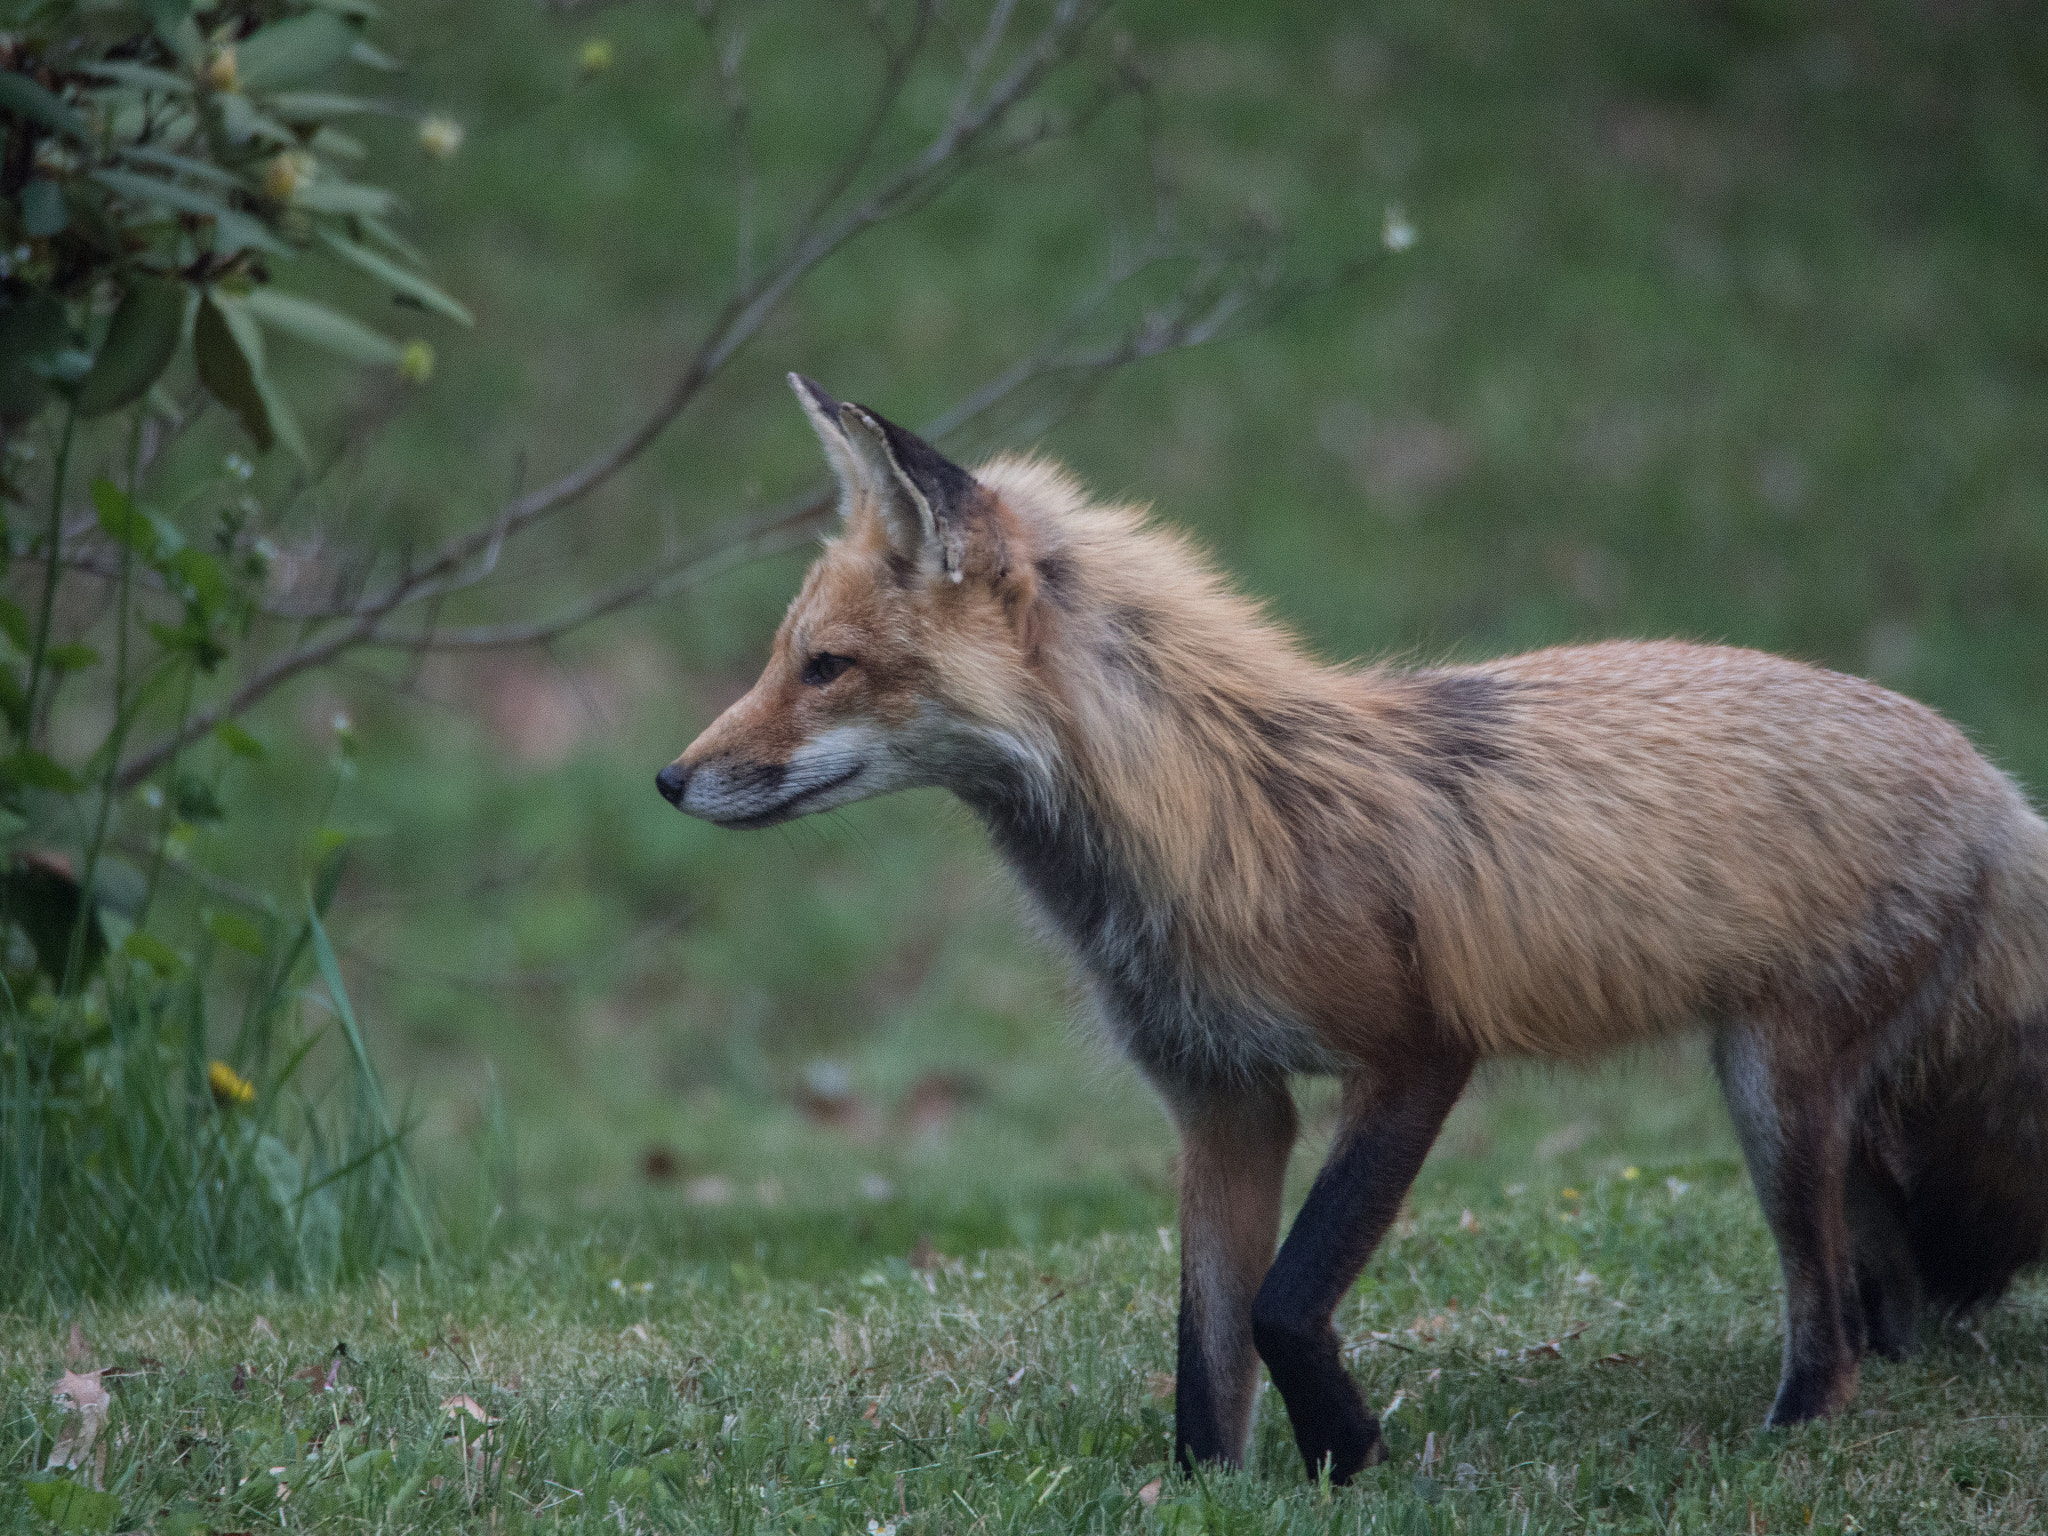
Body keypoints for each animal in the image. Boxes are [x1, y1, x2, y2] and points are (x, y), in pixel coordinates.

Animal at [657, 374, 2048, 1484]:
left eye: (825, 667)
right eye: (785, 655)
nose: (669, 782)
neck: (1199, 810)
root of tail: (1992, 783)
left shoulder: (1413, 1055)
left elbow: (1277, 1305)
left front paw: (1350, 1456)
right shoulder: (1221, 1098)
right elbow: (1204, 1339)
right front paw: (1204, 1488)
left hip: (1772, 1094)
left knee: (1827, 1308)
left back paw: (1795, 1429)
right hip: (1810, 1110)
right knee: (1886, 1273)